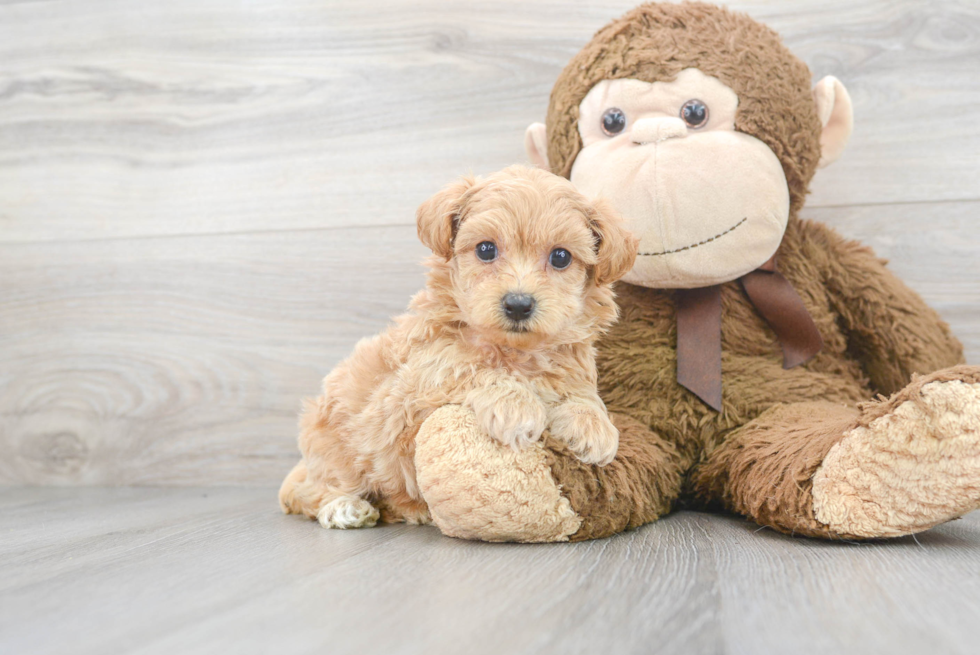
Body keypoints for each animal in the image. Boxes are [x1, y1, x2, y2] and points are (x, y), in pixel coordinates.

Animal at [280, 167, 640, 532]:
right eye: (486, 249)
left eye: (561, 256)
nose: (518, 304)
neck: (516, 352)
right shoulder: (410, 391)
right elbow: (468, 364)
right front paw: (516, 405)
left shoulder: (571, 365)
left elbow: (580, 392)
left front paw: (592, 425)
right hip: (331, 446)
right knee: (311, 491)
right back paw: (345, 508)